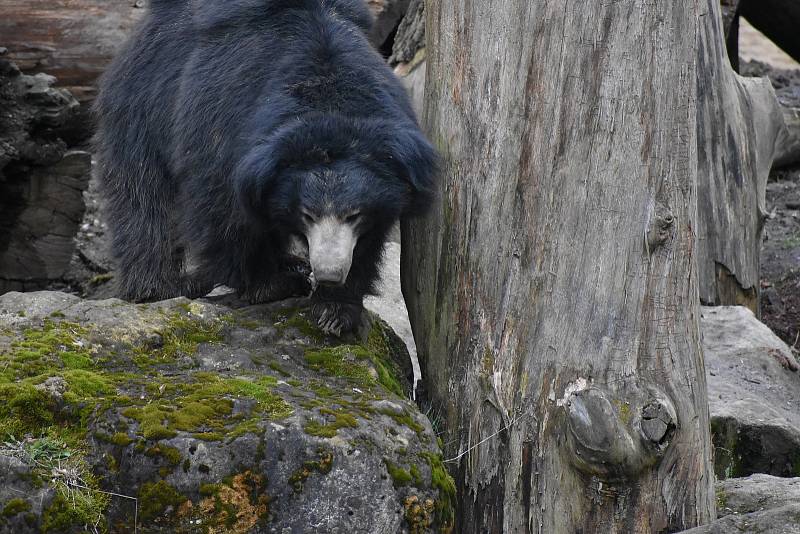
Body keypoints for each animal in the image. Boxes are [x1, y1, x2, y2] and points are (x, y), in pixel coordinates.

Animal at [97, 0, 440, 336]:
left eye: (354, 215)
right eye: (307, 215)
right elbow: (225, 212)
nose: (328, 273)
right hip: (143, 103)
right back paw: (169, 285)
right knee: (144, 198)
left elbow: (370, 240)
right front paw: (272, 284)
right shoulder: (223, 130)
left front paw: (335, 309)